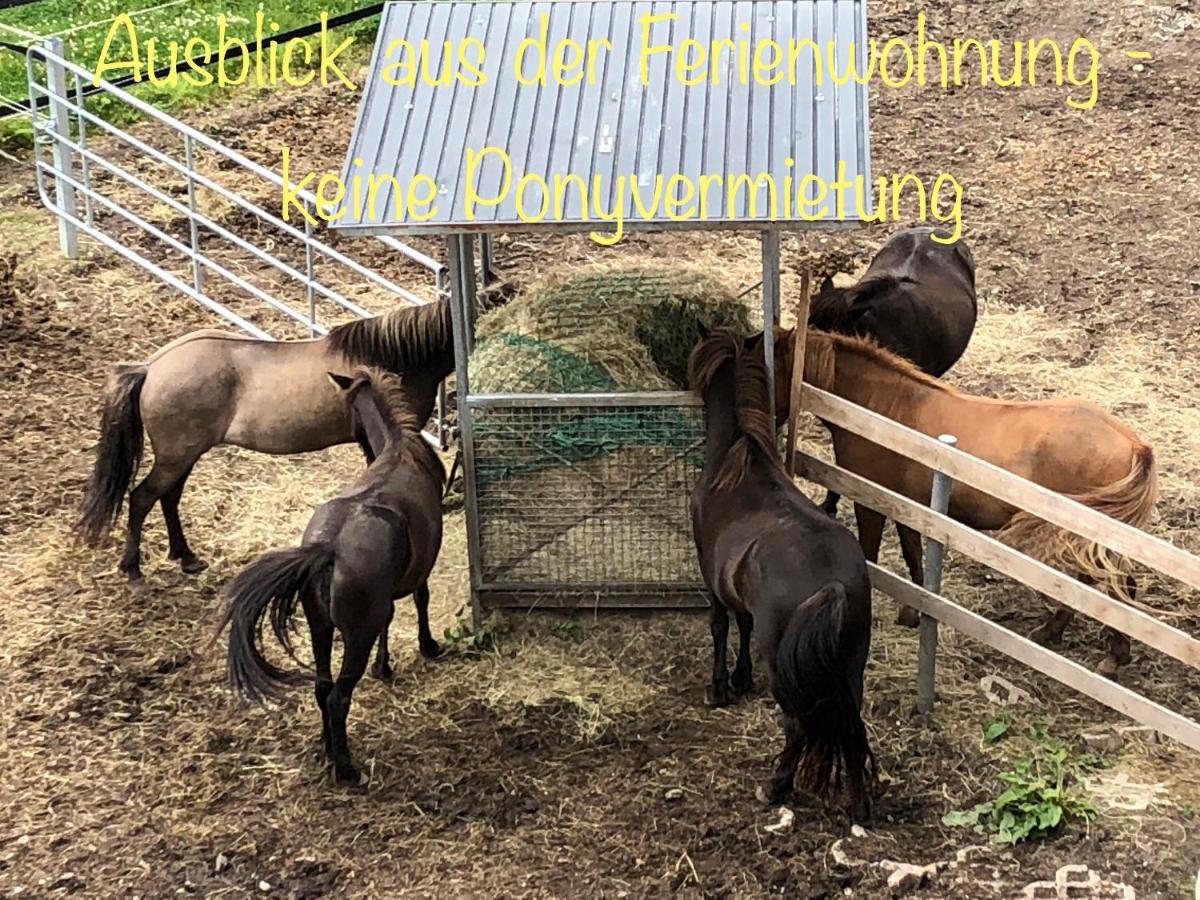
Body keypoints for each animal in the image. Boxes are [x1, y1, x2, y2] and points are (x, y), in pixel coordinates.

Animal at [76, 300, 453, 588]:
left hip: (182, 456)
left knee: (168, 497)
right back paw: (133, 571)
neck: (394, 357)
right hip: (176, 457)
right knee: (142, 498)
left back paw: (186, 557)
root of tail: (151, 368)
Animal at [217, 369, 446, 787]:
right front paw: (427, 646)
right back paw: (347, 769)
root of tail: (328, 550)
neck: (399, 449)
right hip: (354, 636)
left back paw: (328, 748)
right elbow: (421, 599)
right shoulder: (418, 570)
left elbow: (391, 619)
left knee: (322, 688)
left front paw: (385, 666)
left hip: (320, 629)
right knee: (338, 696)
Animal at [691, 328, 878, 820]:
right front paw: (740, 678)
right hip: (850, 665)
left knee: (797, 725)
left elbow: (720, 625)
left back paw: (774, 787)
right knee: (851, 725)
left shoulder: (709, 576)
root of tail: (833, 585)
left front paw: (720, 687)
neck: (737, 464)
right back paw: (857, 805)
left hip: (787, 666)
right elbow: (742, 624)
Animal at [772, 328, 1156, 681]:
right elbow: (914, 555)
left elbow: (872, 552)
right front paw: (912, 613)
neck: (883, 411)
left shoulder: (872, 503)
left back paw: (1106, 653)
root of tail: (1133, 444)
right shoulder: (908, 507)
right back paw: (1067, 637)